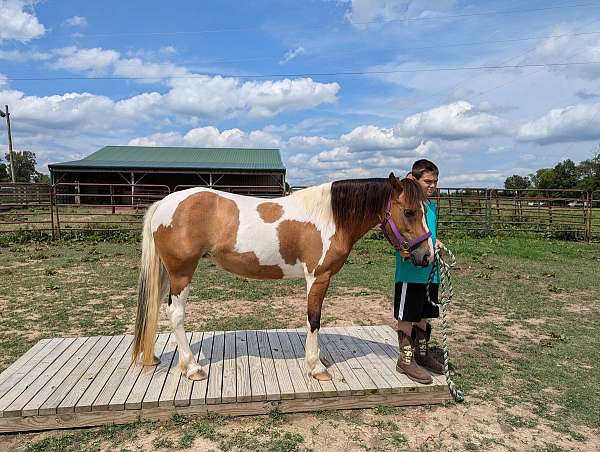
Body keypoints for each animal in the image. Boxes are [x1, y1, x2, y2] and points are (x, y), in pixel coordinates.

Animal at [132, 173, 432, 382]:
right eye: (409, 211)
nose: (427, 255)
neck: (330, 217)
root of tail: (164, 203)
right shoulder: (318, 277)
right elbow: (314, 319)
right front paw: (316, 367)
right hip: (181, 272)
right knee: (175, 314)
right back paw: (192, 367)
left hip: (168, 273)